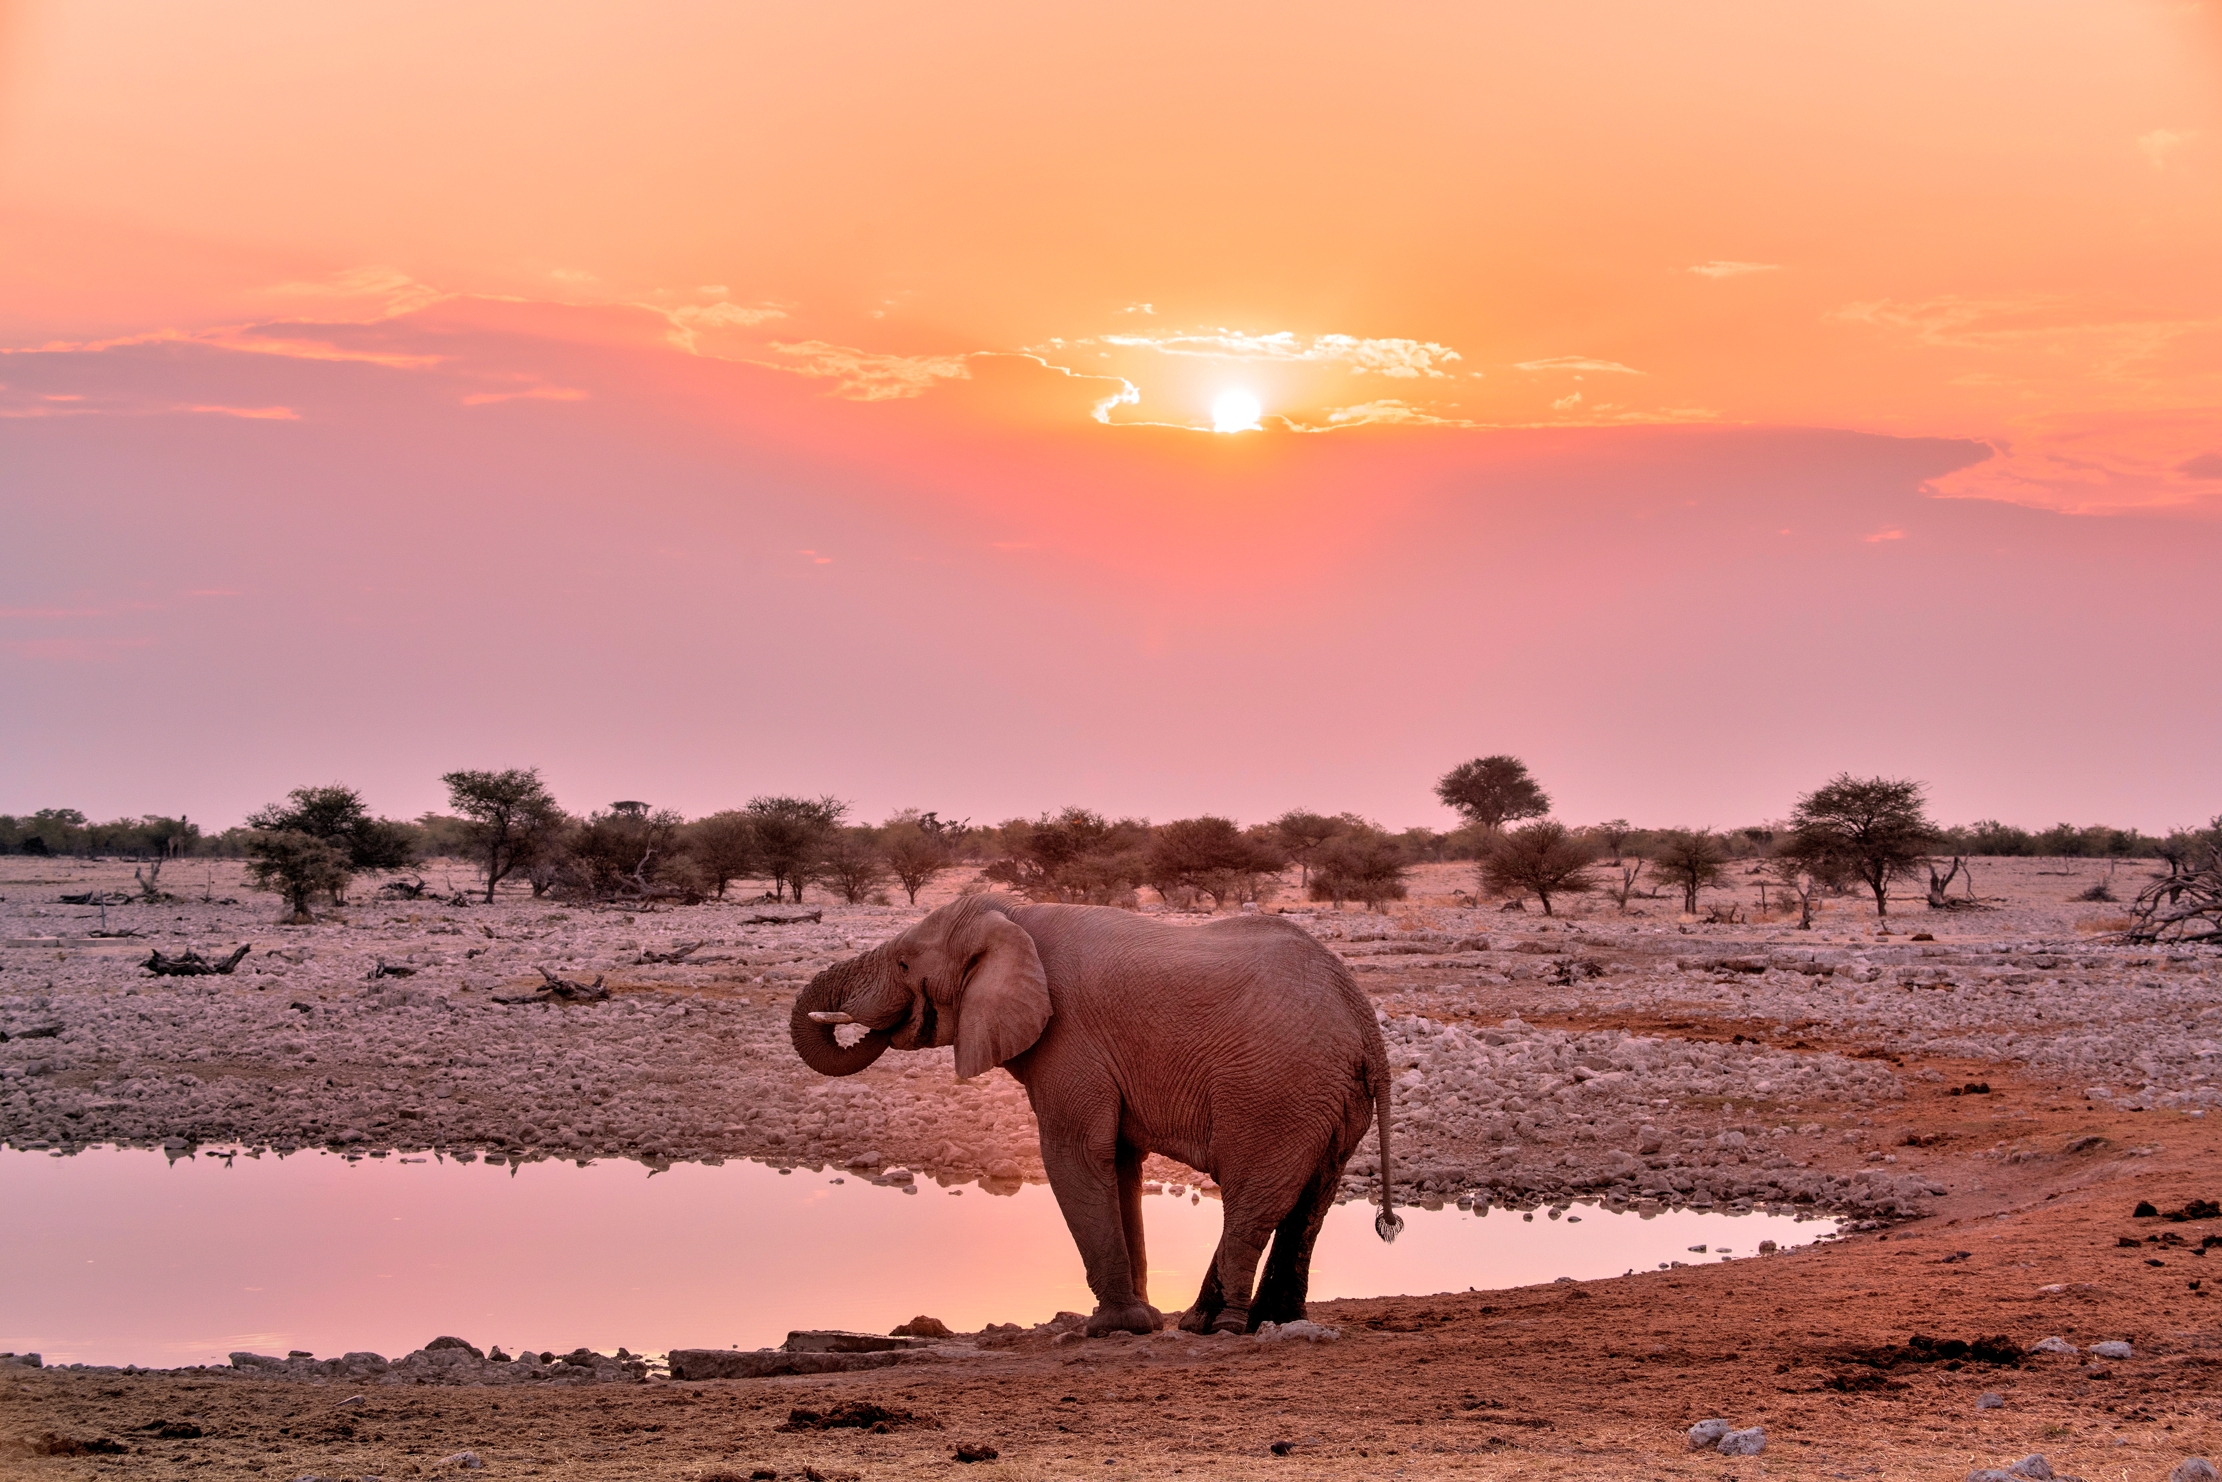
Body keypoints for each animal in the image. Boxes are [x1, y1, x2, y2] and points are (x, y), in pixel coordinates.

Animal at [790, 893, 1401, 1337]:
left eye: (904, 962)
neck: (1012, 916)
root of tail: (1362, 1019)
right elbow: (1121, 1165)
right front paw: (1141, 1321)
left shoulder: (1069, 1038)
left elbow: (1075, 1156)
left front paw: (1112, 1329)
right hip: (1329, 1097)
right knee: (1311, 1203)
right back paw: (1253, 1322)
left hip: (1273, 1089)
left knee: (1253, 1199)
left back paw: (1224, 1327)